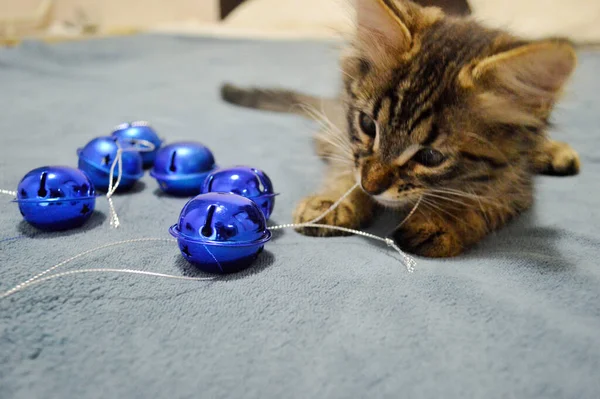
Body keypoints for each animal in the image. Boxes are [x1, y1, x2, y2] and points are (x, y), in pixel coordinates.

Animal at [220, 0, 580, 260]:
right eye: (367, 125)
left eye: (431, 157)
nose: (371, 186)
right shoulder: (348, 141)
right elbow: (345, 167)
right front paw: (334, 201)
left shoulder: (514, 183)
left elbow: (485, 200)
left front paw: (443, 221)